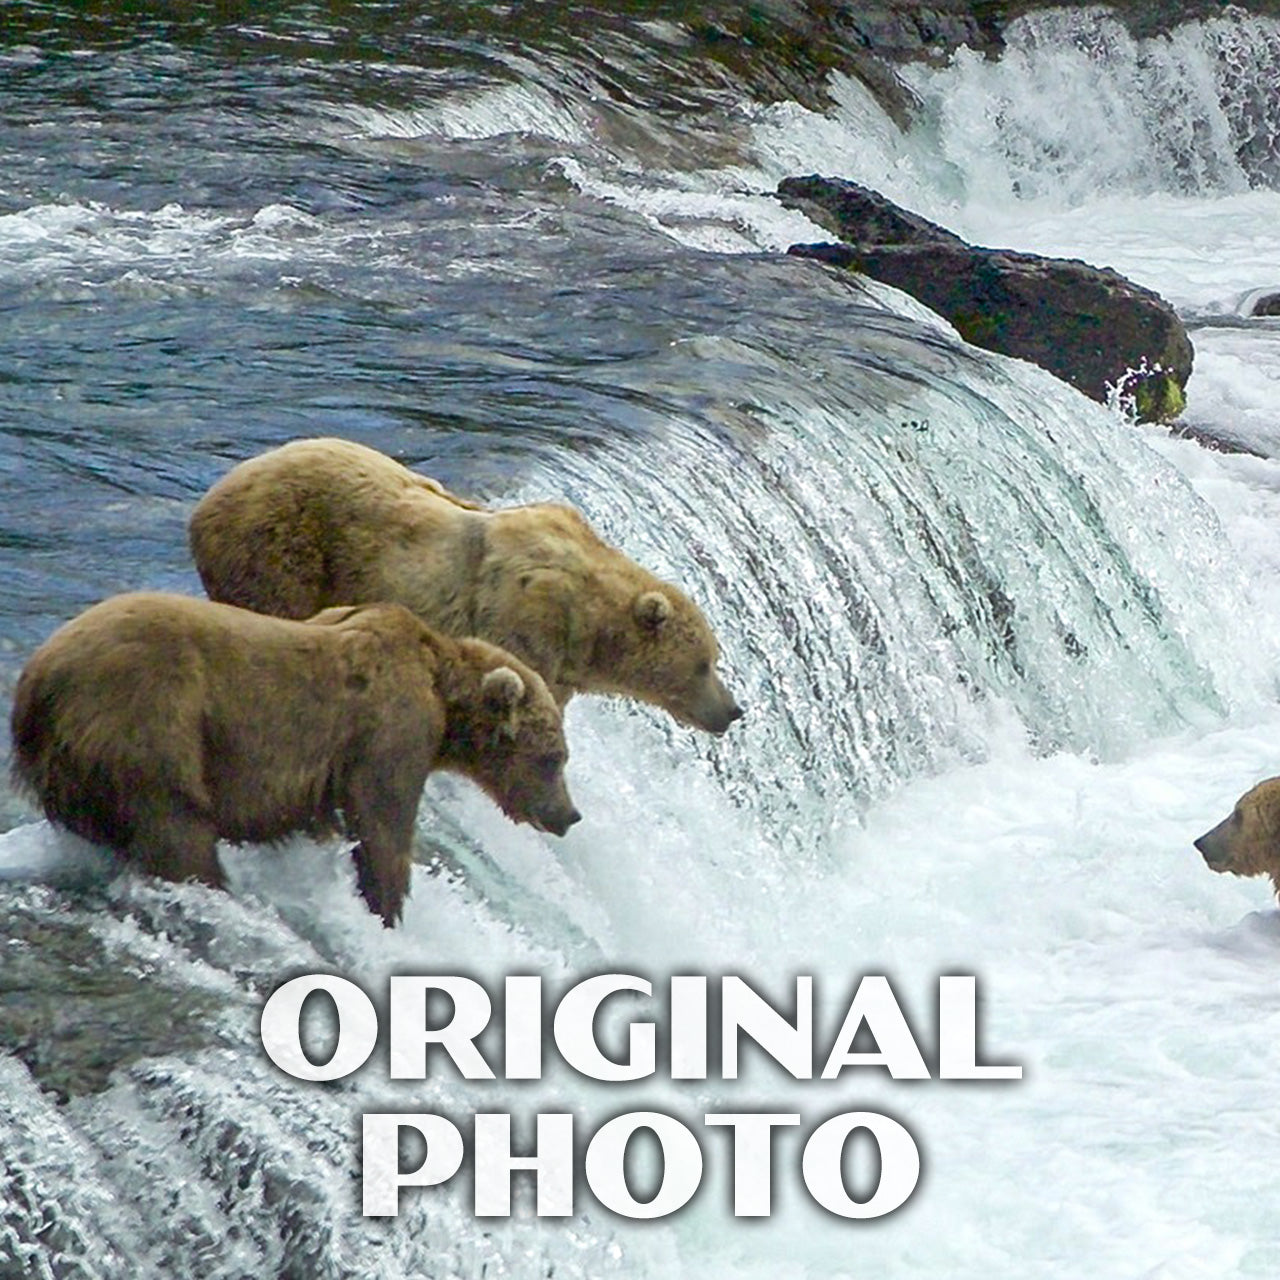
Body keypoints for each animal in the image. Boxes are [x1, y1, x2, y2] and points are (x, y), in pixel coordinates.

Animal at [8, 593, 581, 926]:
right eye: (553, 757)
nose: (568, 815)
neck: (442, 693)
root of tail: (37, 681)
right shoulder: (389, 731)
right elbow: (383, 823)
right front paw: (387, 905)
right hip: (149, 721)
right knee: (176, 826)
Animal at [185, 435, 742, 732]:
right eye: (703, 663)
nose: (733, 710)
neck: (587, 631)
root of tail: (210, 496)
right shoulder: (526, 625)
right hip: (279, 549)